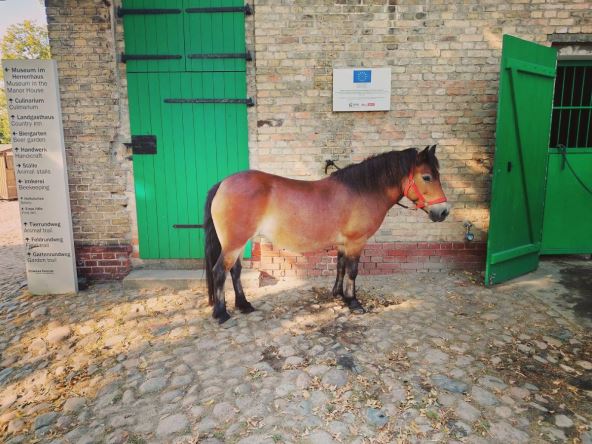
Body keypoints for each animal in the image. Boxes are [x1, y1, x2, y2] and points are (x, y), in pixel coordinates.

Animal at [204, 146, 448, 322]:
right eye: (427, 177)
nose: (444, 212)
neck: (363, 190)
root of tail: (223, 183)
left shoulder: (343, 243)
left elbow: (340, 267)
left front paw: (338, 293)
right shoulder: (356, 242)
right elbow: (353, 271)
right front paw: (354, 302)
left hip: (238, 243)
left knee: (235, 271)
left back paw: (244, 305)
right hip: (234, 243)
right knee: (220, 271)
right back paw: (222, 313)